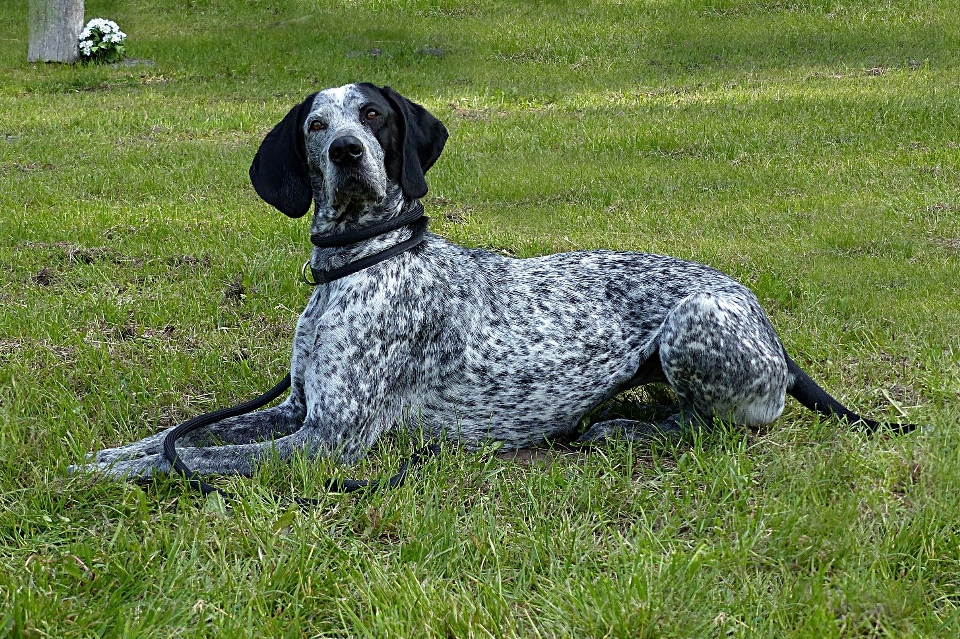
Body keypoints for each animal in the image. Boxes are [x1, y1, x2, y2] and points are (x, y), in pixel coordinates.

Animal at [77, 81, 916, 480]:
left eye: (374, 117)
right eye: (317, 125)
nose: (348, 152)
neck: (362, 262)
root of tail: (768, 325)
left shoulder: (329, 440)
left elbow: (189, 458)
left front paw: (106, 475)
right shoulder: (296, 412)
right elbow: (178, 437)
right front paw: (106, 456)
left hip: (695, 324)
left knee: (726, 424)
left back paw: (622, 429)